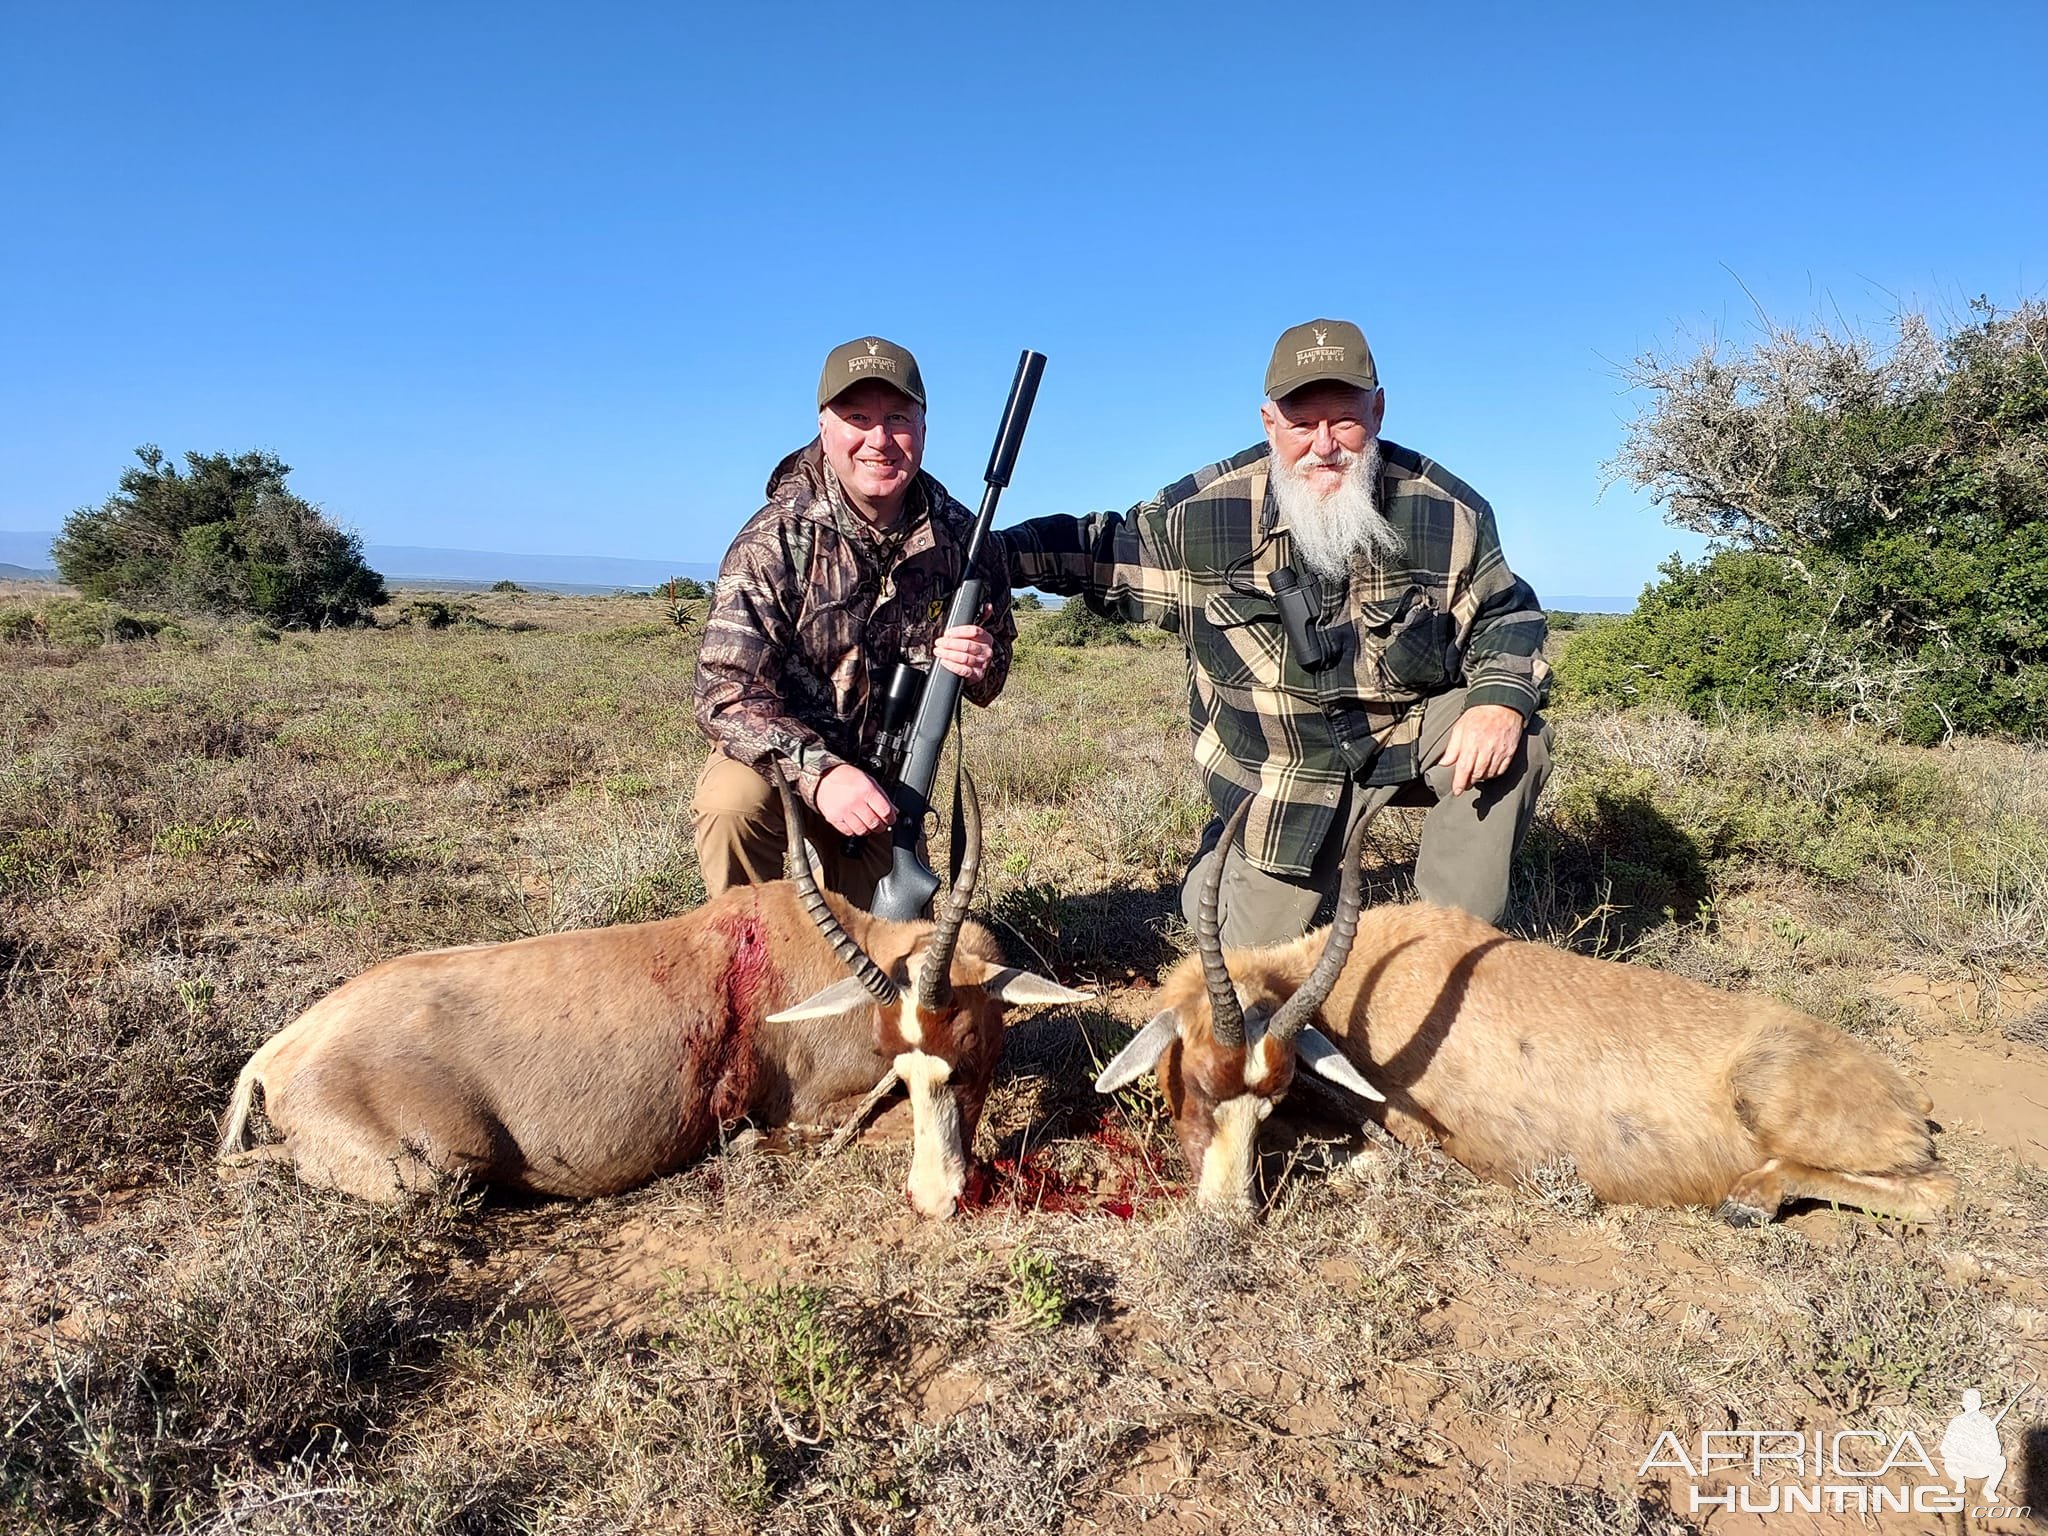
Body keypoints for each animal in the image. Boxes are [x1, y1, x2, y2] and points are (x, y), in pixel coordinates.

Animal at [220, 774, 1089, 1220]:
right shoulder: (805, 1106)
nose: (936, 1201)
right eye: (897, 1063)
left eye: (964, 1058)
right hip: (422, 1174)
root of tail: (279, 1052)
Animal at [1097, 806, 1957, 1228]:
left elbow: (1368, 1162)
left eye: (1266, 1102)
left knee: (1939, 1193)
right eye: (1199, 1084)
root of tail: (1908, 1096)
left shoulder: (1417, 1141)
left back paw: (1750, 1200)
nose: (1227, 1221)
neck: (1389, 965)